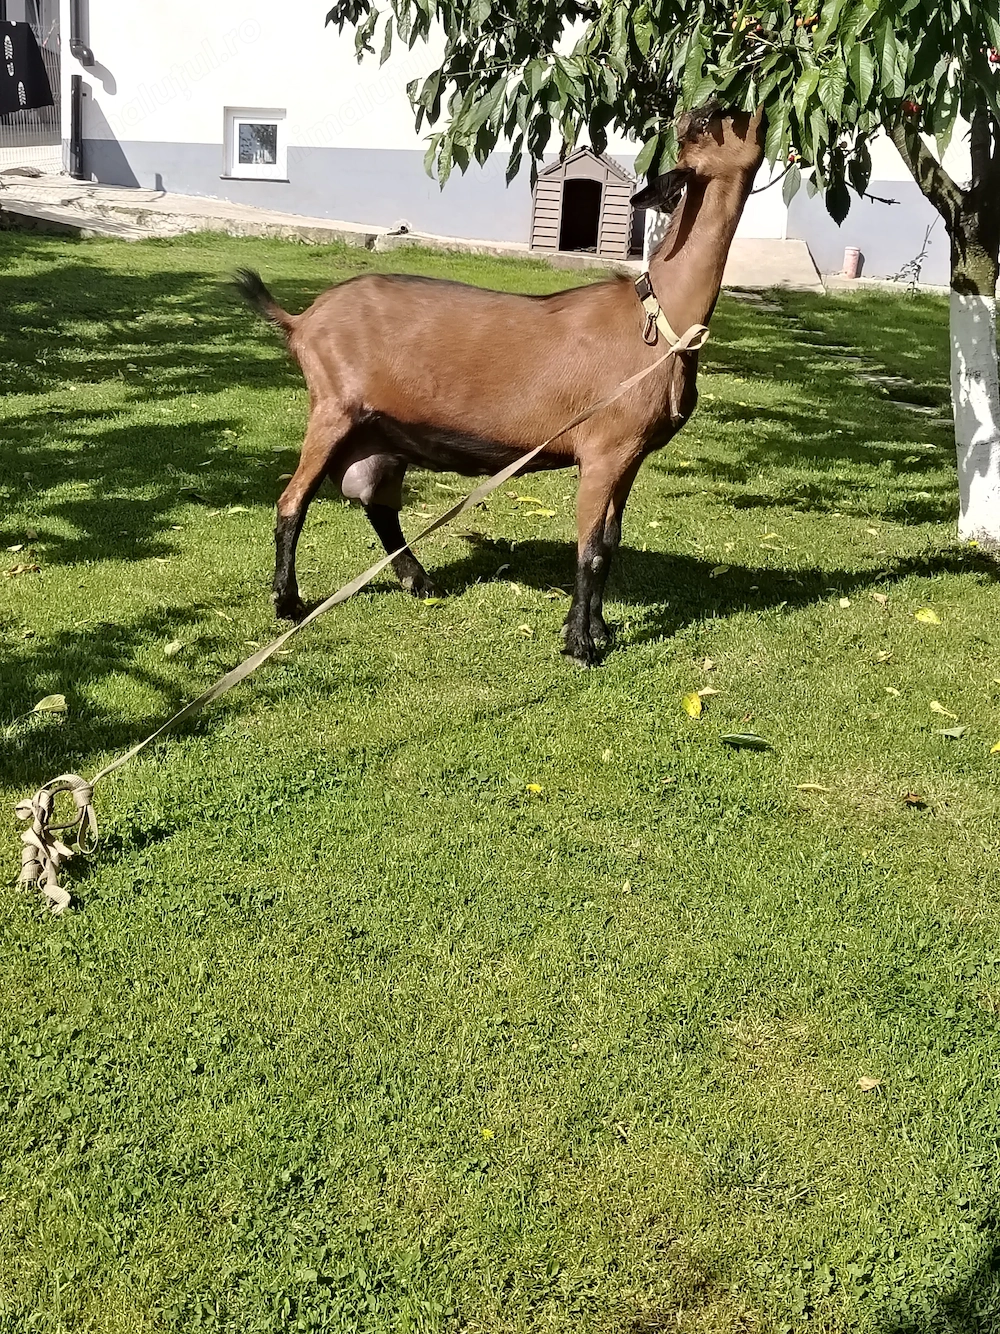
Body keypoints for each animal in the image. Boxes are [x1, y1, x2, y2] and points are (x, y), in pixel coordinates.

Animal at [236, 103, 765, 666]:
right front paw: (580, 644)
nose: (749, 107)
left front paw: (599, 631)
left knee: (377, 502)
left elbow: (610, 544)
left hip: (382, 432)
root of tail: (301, 320)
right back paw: (289, 603)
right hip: (333, 410)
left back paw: (418, 580)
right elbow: (590, 550)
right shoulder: (604, 450)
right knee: (292, 502)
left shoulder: (630, 454)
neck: (659, 313)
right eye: (706, 124)